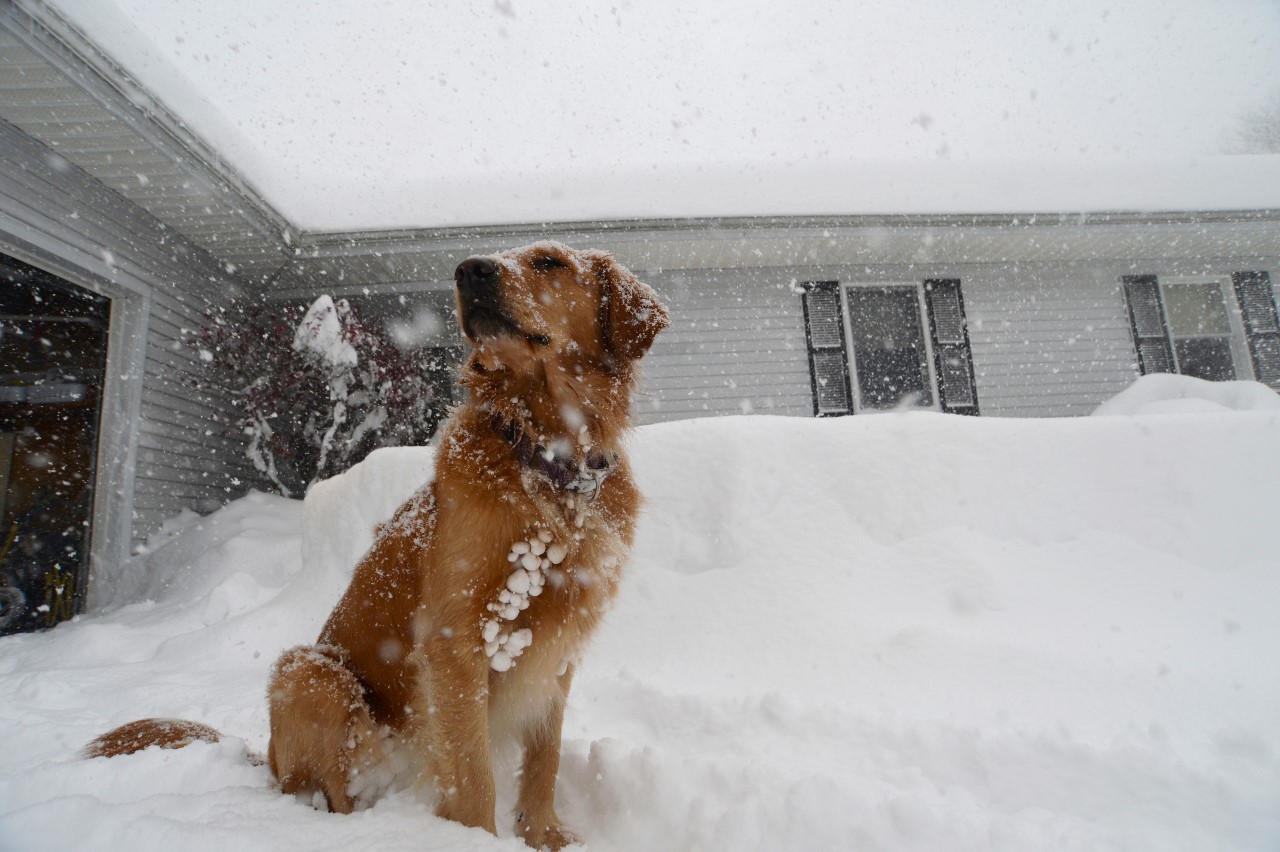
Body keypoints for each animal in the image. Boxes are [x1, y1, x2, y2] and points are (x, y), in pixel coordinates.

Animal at [82, 241, 670, 844]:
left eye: (551, 262)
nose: (468, 270)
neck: (546, 460)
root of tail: (265, 757)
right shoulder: (455, 637)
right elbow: (472, 773)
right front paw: (475, 839)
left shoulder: (559, 644)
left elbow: (544, 757)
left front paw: (545, 835)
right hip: (310, 672)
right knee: (334, 795)